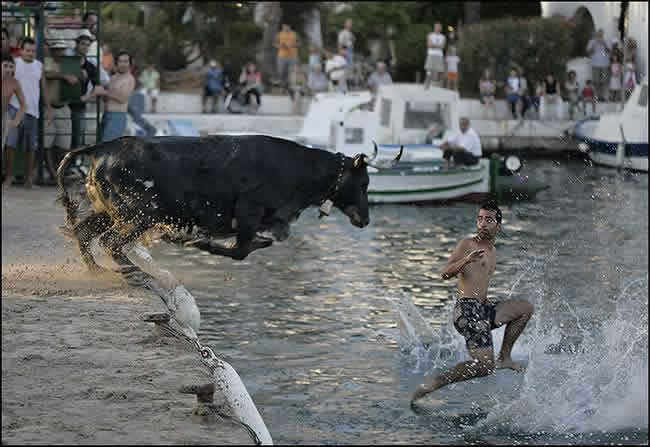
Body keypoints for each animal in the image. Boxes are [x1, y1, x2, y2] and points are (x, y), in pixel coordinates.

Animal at [57, 134, 400, 288]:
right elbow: (240, 250)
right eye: (364, 183)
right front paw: (197, 241)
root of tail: (102, 148)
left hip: (110, 211)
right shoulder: (249, 213)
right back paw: (137, 273)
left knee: (84, 232)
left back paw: (97, 271)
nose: (365, 219)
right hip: (140, 213)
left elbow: (259, 243)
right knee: (111, 242)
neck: (298, 169)